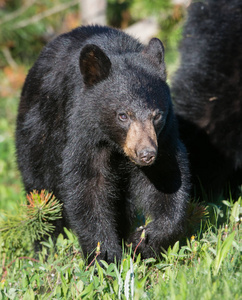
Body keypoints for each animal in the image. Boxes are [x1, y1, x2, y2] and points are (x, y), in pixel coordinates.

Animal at [15, 25, 191, 262]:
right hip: (38, 135)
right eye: (123, 115)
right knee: (41, 189)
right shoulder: (84, 132)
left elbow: (168, 179)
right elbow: (88, 186)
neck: (114, 144)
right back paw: (45, 248)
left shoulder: (163, 137)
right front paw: (105, 255)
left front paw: (144, 240)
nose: (146, 154)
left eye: (156, 115)